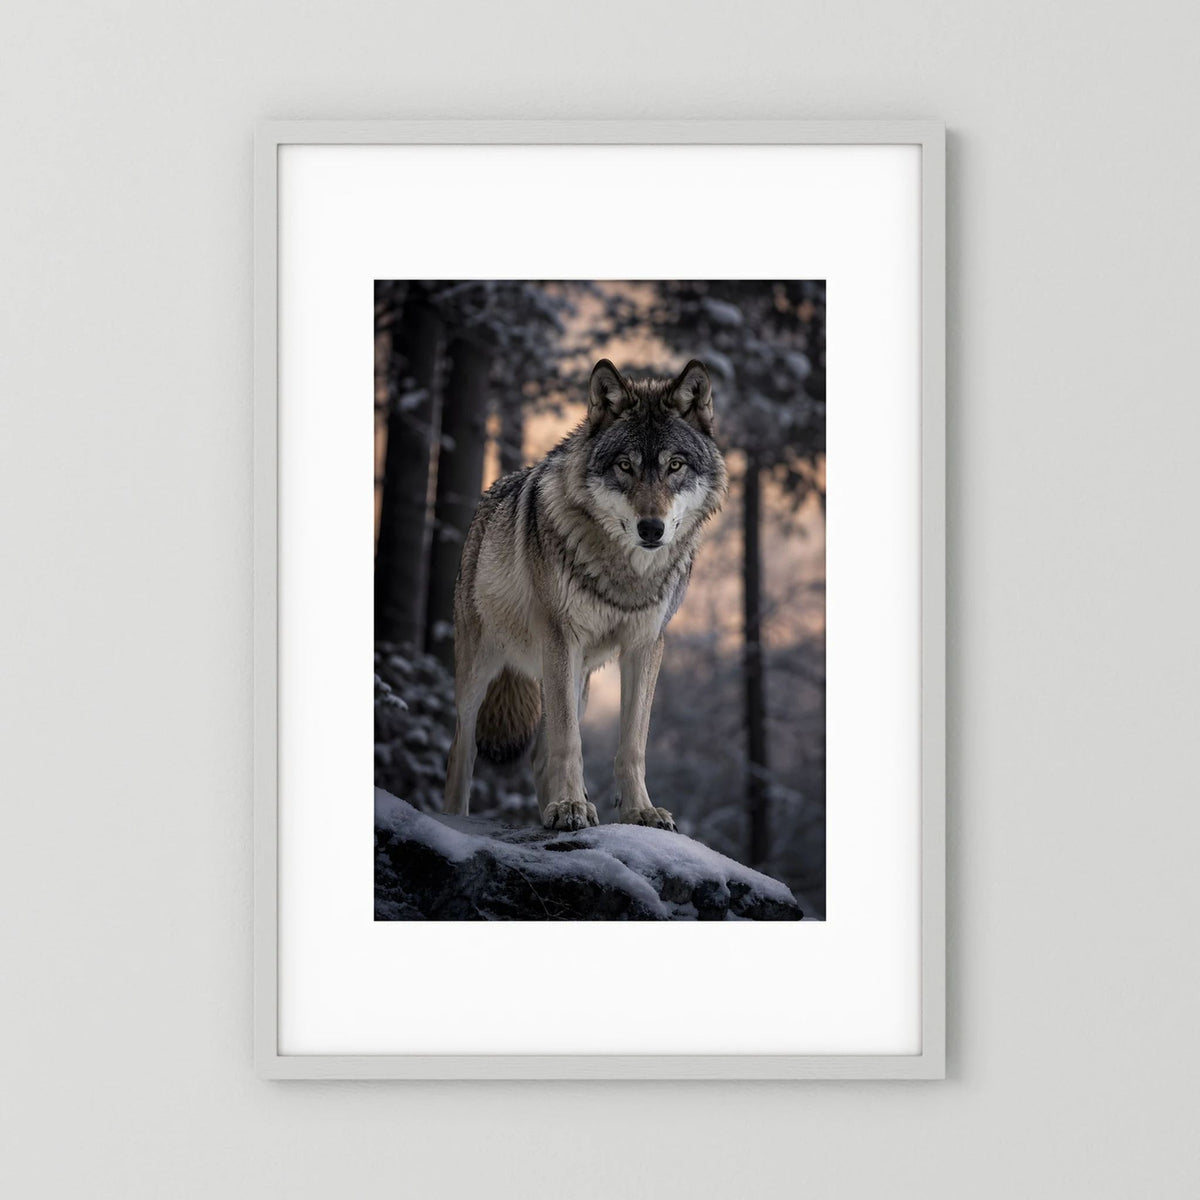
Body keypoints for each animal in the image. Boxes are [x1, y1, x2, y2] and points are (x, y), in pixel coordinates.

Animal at [444, 358, 728, 832]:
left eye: (675, 465)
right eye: (625, 466)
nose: (651, 528)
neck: (625, 573)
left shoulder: (646, 645)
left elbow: (632, 744)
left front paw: (640, 811)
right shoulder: (562, 638)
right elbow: (570, 743)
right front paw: (570, 806)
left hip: (578, 681)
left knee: (539, 756)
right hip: (483, 671)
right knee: (461, 750)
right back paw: (459, 818)